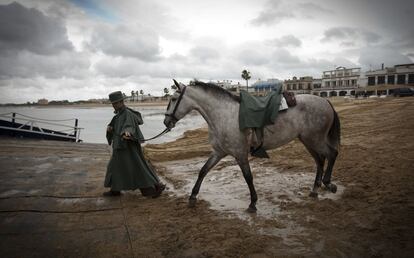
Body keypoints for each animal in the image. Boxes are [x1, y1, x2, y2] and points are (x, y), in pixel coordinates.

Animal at [163, 79, 342, 213]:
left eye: (173, 99)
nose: (166, 122)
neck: (224, 114)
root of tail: (325, 100)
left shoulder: (240, 154)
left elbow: (248, 177)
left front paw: (253, 203)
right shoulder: (219, 152)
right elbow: (203, 171)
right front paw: (192, 197)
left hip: (315, 139)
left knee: (332, 154)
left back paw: (328, 184)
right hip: (308, 140)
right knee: (320, 161)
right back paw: (315, 189)